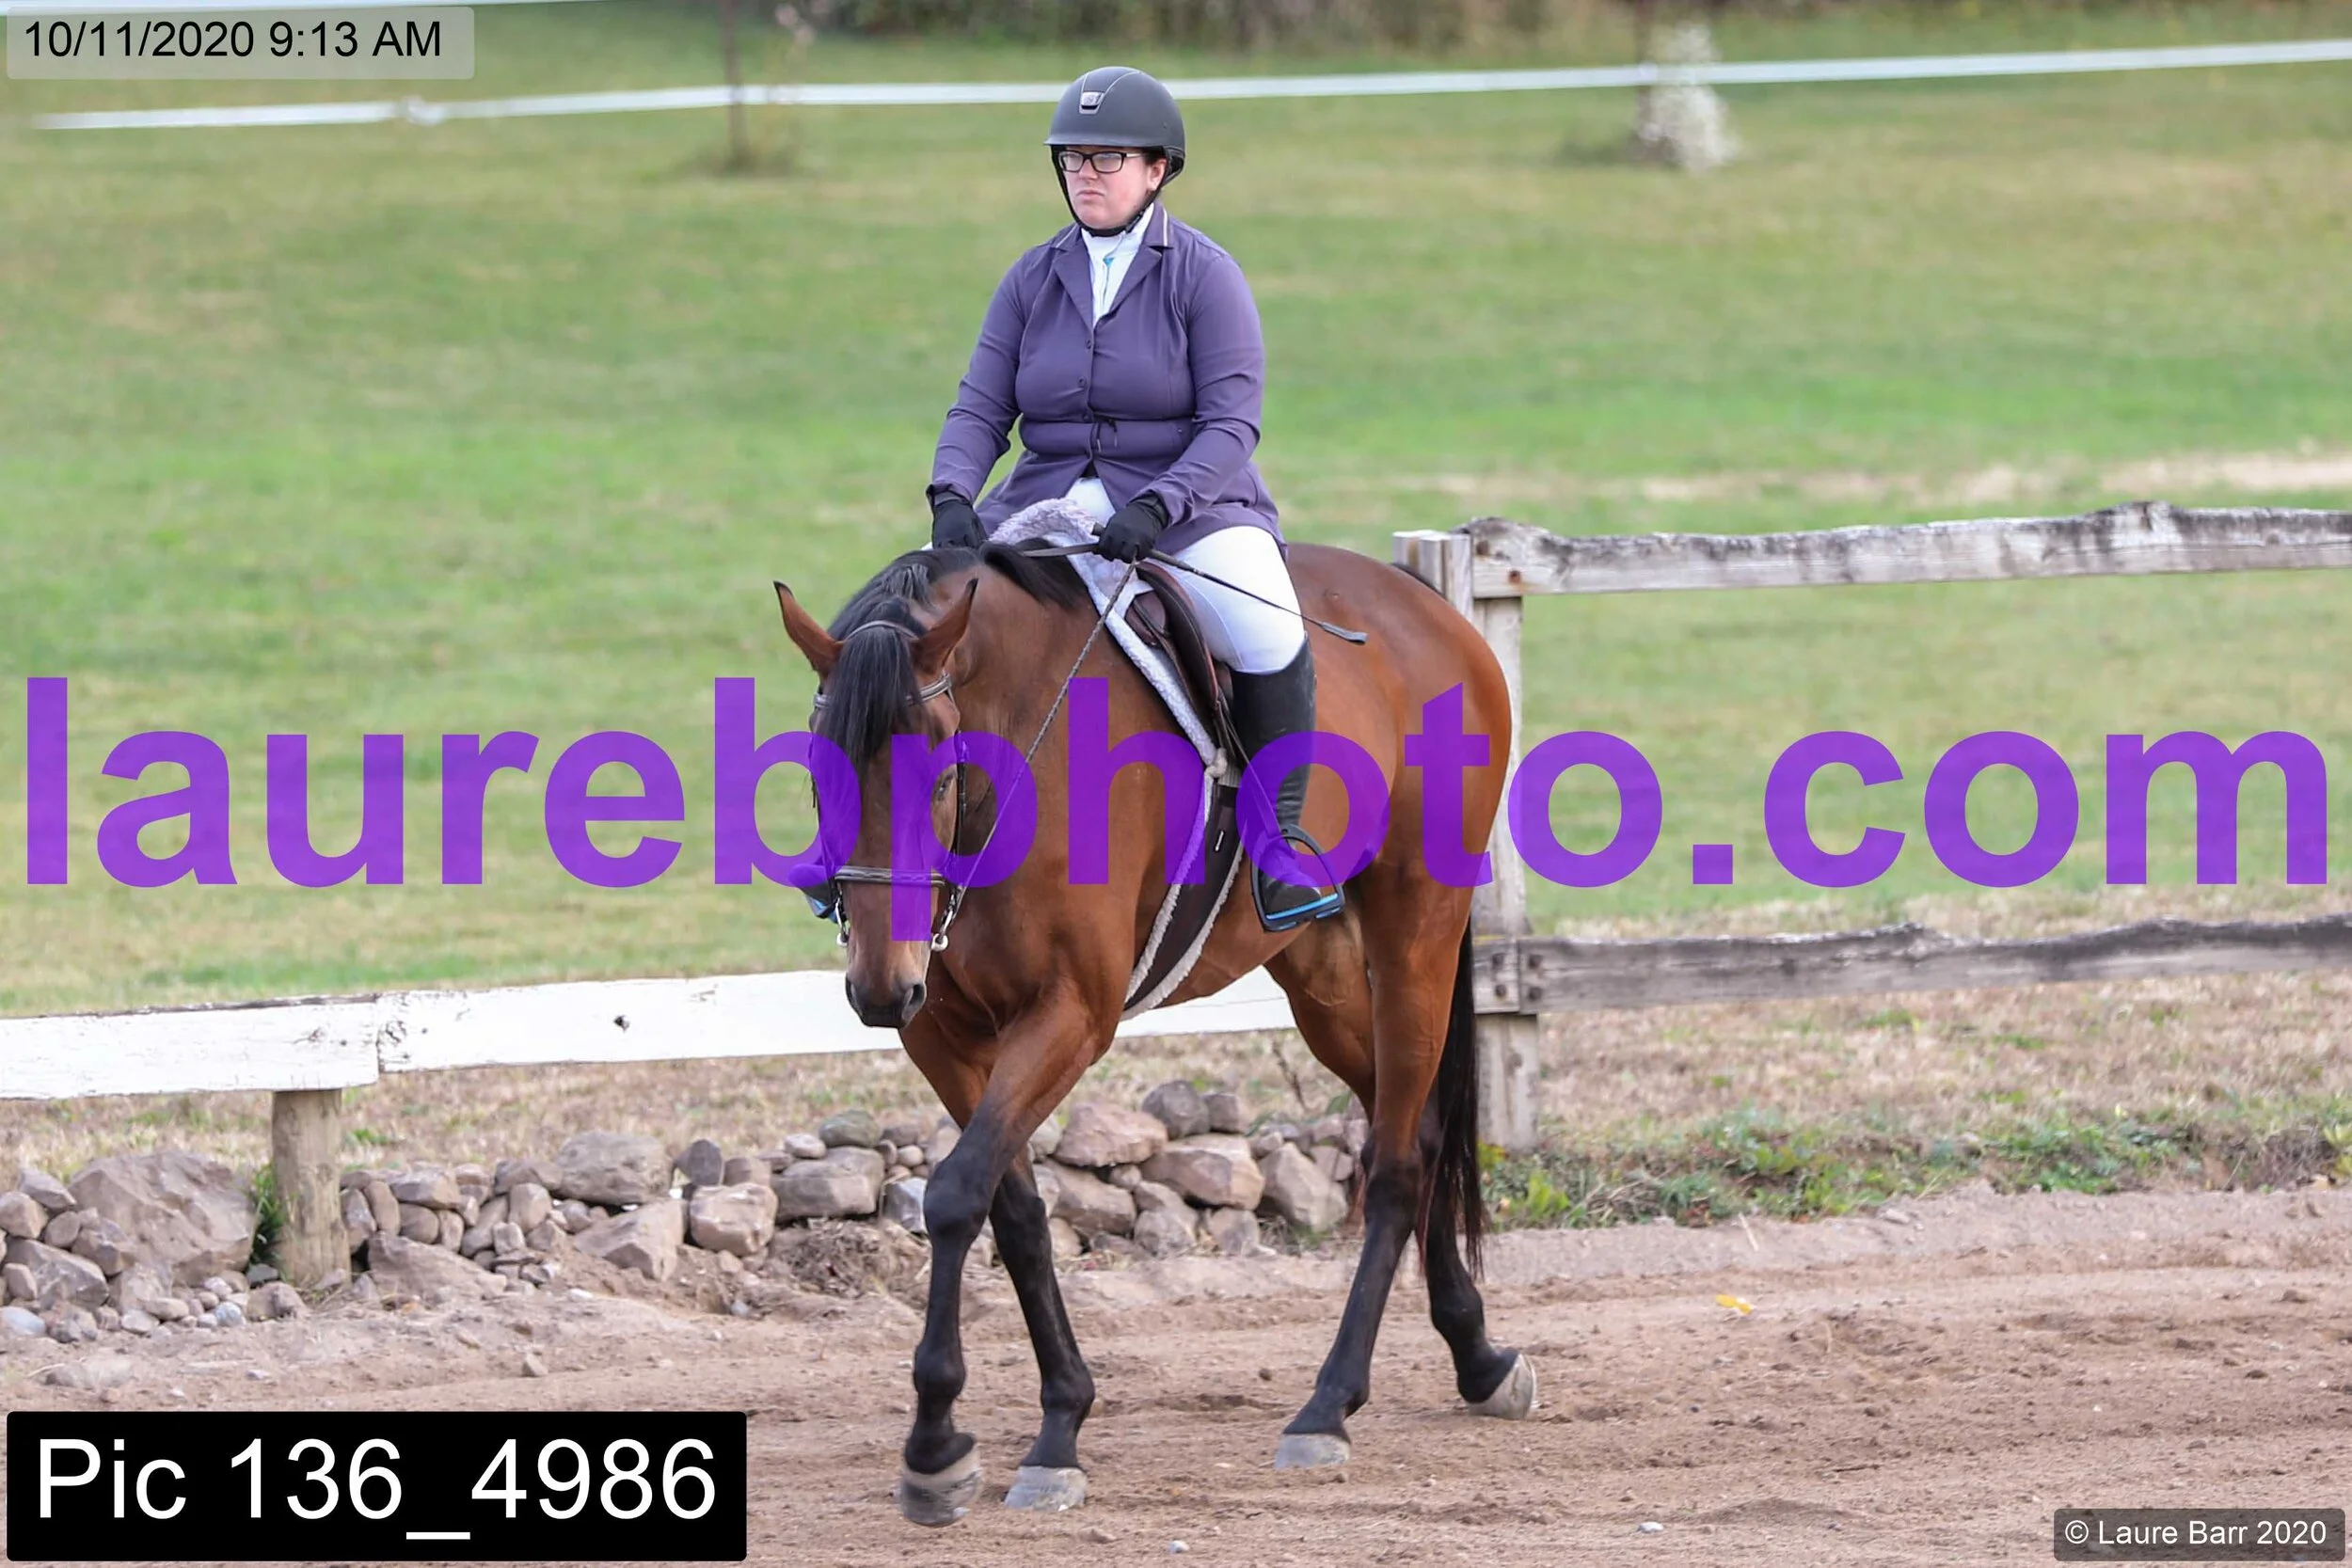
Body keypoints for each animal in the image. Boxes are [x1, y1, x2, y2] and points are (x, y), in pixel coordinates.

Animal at [771, 533, 1533, 1524]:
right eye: (816, 767)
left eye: (939, 766)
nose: (876, 985)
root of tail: (1424, 600)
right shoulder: (941, 1030)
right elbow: (1011, 1209)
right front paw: (1061, 1419)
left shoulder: (1071, 1014)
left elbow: (955, 1193)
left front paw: (936, 1442)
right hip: (1322, 975)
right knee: (1416, 1123)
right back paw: (1478, 1356)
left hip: (1416, 933)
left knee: (1401, 1160)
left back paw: (1328, 1406)